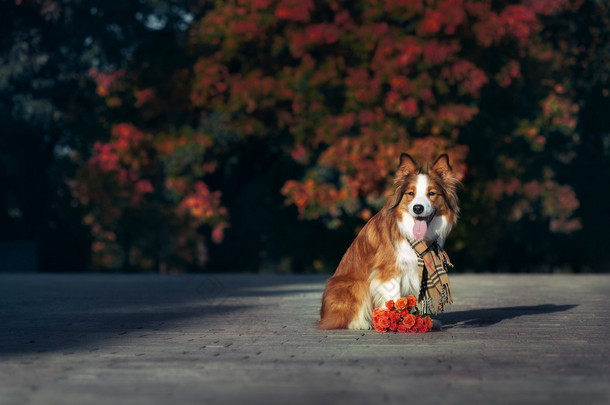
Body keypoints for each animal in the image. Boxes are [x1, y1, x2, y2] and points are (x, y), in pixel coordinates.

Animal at [318, 153, 456, 330]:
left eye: (431, 193)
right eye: (410, 193)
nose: (418, 208)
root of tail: (323, 315)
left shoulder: (416, 270)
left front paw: (419, 320)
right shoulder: (389, 271)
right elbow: (396, 300)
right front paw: (399, 322)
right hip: (352, 284)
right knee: (338, 320)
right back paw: (359, 323)